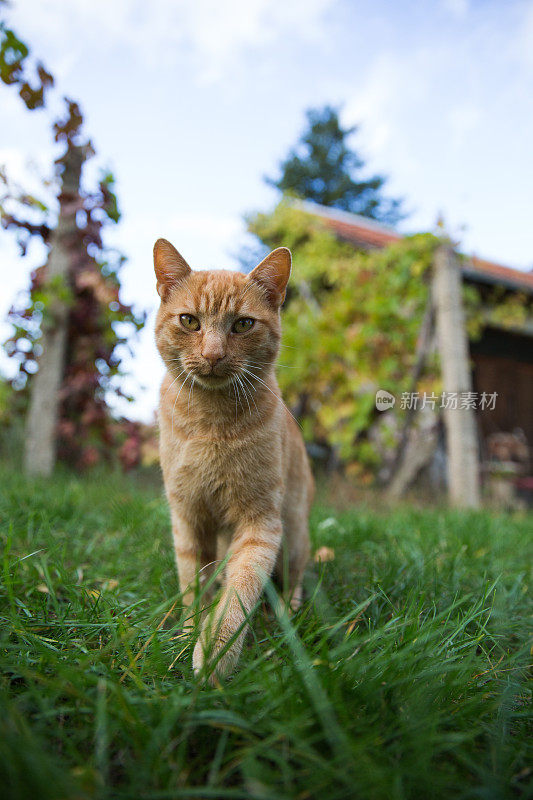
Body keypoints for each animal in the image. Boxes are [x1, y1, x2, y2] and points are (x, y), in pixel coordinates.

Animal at [153, 238, 312, 680]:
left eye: (242, 325)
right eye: (189, 321)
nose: (213, 354)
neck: (211, 424)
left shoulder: (260, 526)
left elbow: (240, 592)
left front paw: (215, 653)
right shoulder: (188, 519)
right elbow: (195, 586)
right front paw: (189, 634)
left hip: (294, 531)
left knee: (297, 575)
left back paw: (288, 613)